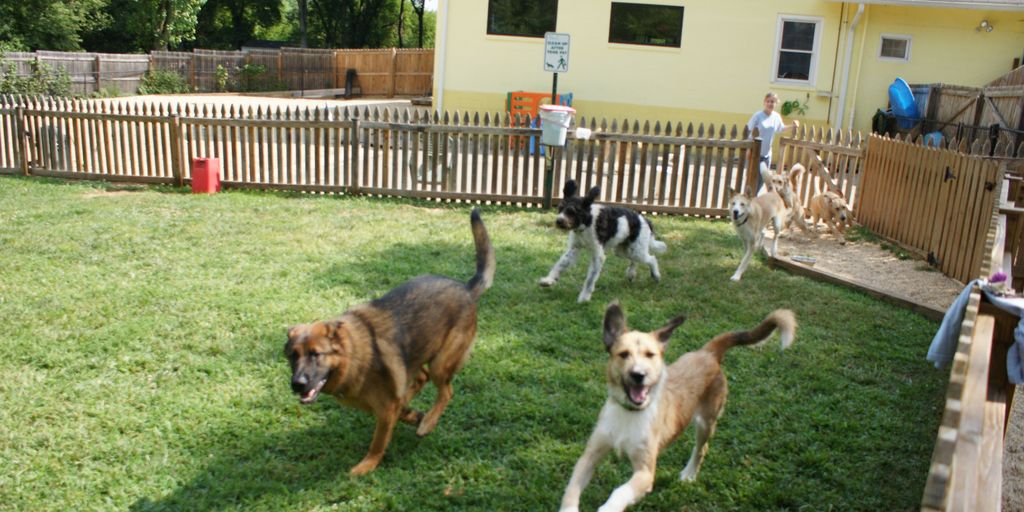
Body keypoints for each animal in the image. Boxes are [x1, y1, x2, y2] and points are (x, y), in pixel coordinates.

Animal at [286, 207, 497, 475]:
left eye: (316, 354)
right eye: (293, 356)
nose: (297, 384)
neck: (353, 355)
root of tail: (466, 288)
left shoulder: (385, 410)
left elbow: (378, 442)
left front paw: (366, 466)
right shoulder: (387, 405)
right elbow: (401, 411)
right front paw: (412, 414)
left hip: (441, 364)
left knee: (446, 391)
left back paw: (428, 423)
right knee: (421, 379)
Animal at [561, 303, 790, 512]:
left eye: (650, 355)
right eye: (623, 354)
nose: (638, 375)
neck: (629, 413)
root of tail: (708, 353)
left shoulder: (645, 472)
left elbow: (621, 491)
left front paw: (609, 507)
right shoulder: (590, 455)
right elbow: (572, 487)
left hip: (706, 422)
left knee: (701, 449)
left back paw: (689, 474)